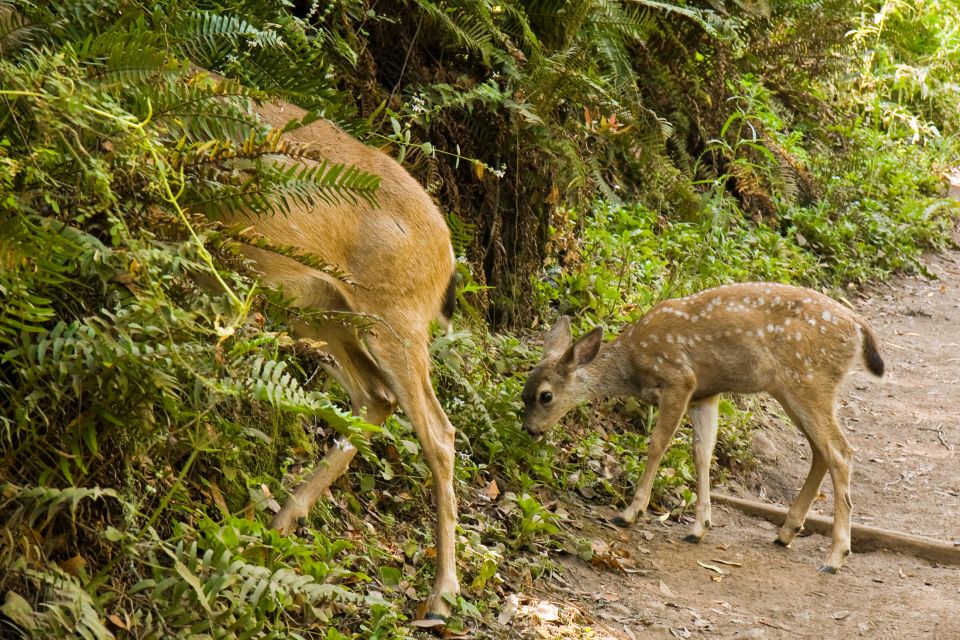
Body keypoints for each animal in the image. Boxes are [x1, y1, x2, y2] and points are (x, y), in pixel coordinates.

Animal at [224, 82, 462, 616]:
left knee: (438, 433)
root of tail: (450, 253)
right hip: (320, 309)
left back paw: (441, 595)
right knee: (375, 397)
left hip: (394, 318)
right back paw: (279, 524)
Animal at [524, 282, 884, 572]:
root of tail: (858, 326)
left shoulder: (679, 379)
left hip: (808, 380)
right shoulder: (705, 394)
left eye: (545, 395)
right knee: (820, 451)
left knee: (841, 451)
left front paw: (631, 512)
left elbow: (658, 444)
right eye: (523, 393)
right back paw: (786, 533)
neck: (633, 363)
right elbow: (702, 453)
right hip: (791, 388)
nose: (529, 430)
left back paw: (835, 557)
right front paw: (699, 527)